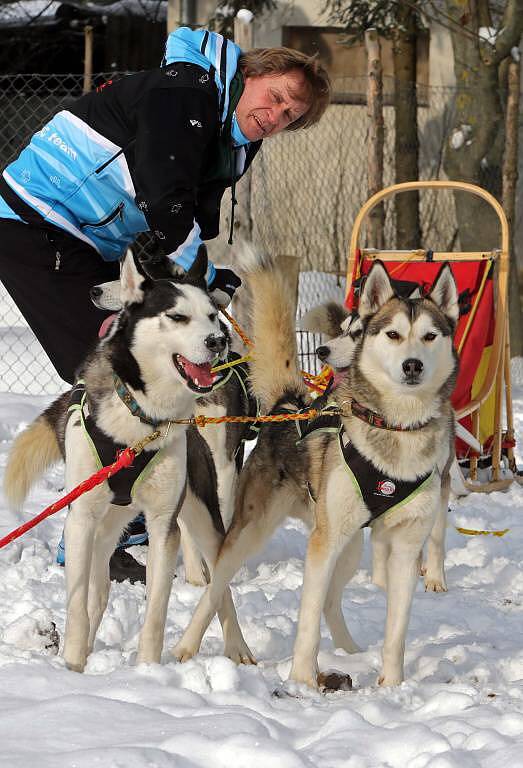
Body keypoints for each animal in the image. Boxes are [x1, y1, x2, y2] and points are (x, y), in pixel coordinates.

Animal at [1, 249, 252, 668]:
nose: (216, 340)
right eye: (177, 316)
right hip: (103, 530)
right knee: (96, 594)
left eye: (211, 315)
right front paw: (73, 665)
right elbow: (77, 606)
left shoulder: (164, 523)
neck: (141, 419)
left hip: (201, 514)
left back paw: (238, 649)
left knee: (221, 584)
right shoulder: (81, 519)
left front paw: (148, 670)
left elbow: (157, 610)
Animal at [173, 255, 458, 688]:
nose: (413, 365)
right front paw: (303, 680)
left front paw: (392, 685)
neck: (395, 430)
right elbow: (306, 621)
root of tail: (290, 406)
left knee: (330, 602)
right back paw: (188, 646)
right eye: (393, 334)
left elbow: (396, 628)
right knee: (216, 590)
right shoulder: (322, 546)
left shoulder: (406, 546)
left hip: (349, 545)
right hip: (256, 532)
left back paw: (351, 651)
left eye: (429, 336)